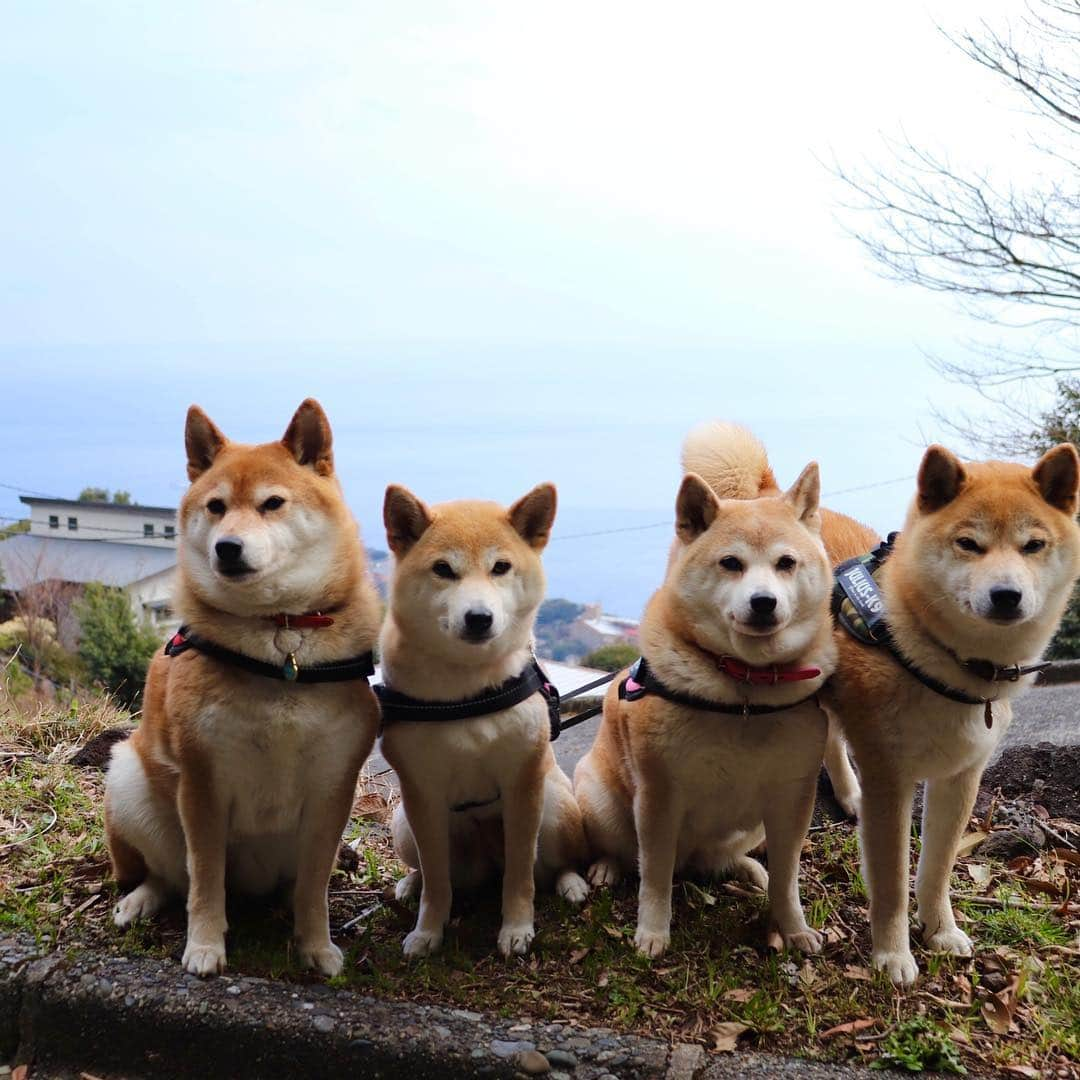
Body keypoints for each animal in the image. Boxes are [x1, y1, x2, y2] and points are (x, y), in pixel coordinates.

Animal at [101, 403, 380, 980]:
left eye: (272, 503)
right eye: (216, 506)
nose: (226, 547)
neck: (280, 643)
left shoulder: (332, 789)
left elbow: (315, 887)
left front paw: (315, 945)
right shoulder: (203, 783)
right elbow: (205, 881)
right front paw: (205, 946)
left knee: (287, 886)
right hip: (130, 779)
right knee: (171, 876)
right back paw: (139, 899)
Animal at [378, 486, 591, 959]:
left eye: (501, 567)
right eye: (443, 569)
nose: (478, 618)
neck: (468, 690)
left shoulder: (523, 784)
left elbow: (521, 877)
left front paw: (517, 928)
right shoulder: (421, 791)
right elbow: (437, 883)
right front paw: (427, 931)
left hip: (554, 806)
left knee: (553, 866)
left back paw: (572, 884)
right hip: (404, 823)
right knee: (435, 873)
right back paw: (410, 884)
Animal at [574, 425, 833, 959]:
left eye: (786, 563)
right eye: (731, 563)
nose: (763, 602)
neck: (744, 691)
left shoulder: (792, 797)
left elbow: (788, 878)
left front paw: (792, 927)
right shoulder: (658, 796)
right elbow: (653, 878)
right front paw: (653, 932)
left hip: (747, 828)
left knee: (718, 862)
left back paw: (747, 870)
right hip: (603, 799)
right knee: (626, 853)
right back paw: (608, 867)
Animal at [816, 440, 1080, 989]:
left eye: (1033, 545)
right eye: (969, 544)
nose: (1006, 594)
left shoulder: (961, 777)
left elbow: (936, 871)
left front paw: (940, 931)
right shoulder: (891, 782)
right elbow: (893, 884)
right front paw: (893, 954)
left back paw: (847, 793)